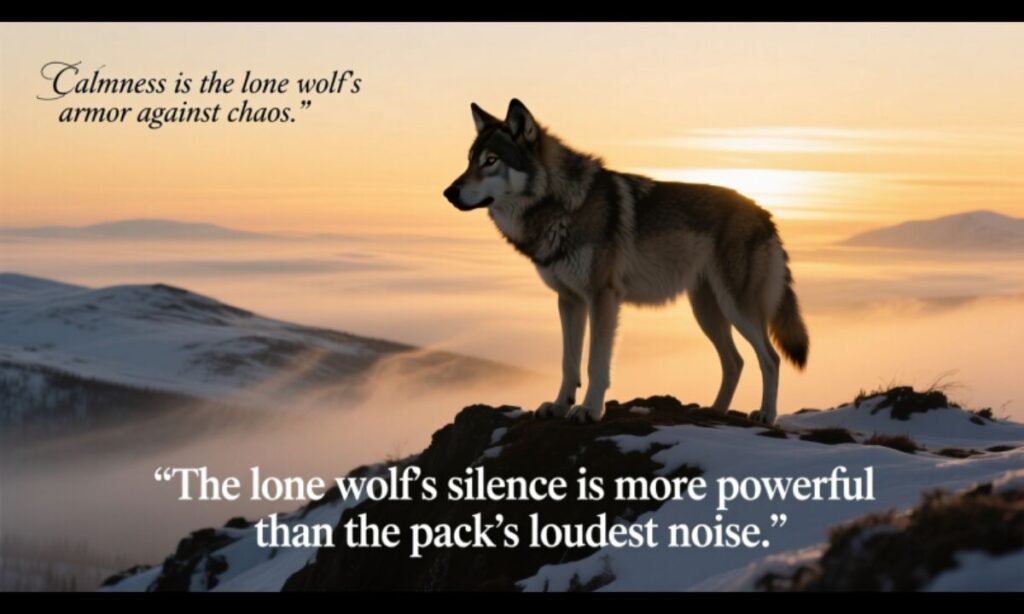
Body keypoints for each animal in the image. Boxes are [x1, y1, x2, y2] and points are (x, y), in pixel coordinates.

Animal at [443, 99, 809, 425]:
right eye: (469, 161)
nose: (449, 192)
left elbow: (595, 364)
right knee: (735, 362)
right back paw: (713, 411)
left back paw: (765, 415)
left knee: (770, 359)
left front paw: (589, 411)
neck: (562, 205)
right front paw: (560, 407)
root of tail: (766, 216)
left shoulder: (602, 297)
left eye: (491, 160)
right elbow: (568, 363)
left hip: (737, 309)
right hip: (706, 311)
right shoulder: (569, 300)